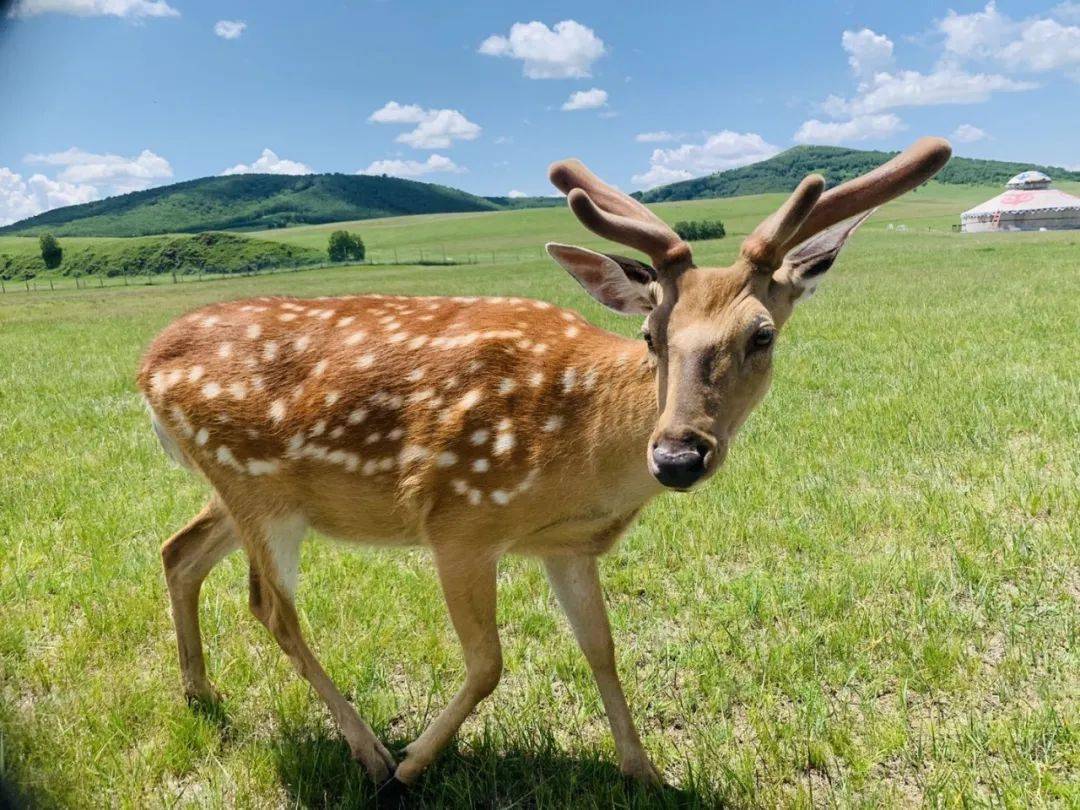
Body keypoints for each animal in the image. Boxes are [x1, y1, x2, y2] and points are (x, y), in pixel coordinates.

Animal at [137, 136, 954, 790]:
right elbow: (489, 664)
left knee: (178, 551)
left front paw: (645, 770)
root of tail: (145, 366)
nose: (676, 454)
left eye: (763, 334)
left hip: (244, 491)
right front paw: (413, 766)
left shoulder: (566, 546)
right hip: (257, 491)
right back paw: (368, 752)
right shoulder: (459, 519)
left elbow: (602, 649)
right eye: (652, 334)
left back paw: (201, 694)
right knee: (271, 607)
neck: (582, 459)